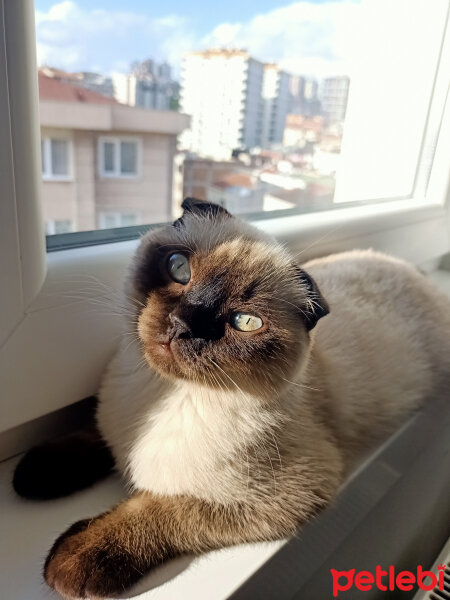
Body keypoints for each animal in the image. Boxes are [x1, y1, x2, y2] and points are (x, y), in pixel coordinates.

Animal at [12, 199, 450, 596]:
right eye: (179, 268)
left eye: (245, 322)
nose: (182, 325)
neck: (161, 392)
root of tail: (416, 272)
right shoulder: (113, 423)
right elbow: (94, 435)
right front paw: (33, 473)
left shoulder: (285, 495)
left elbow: (156, 509)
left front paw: (75, 559)